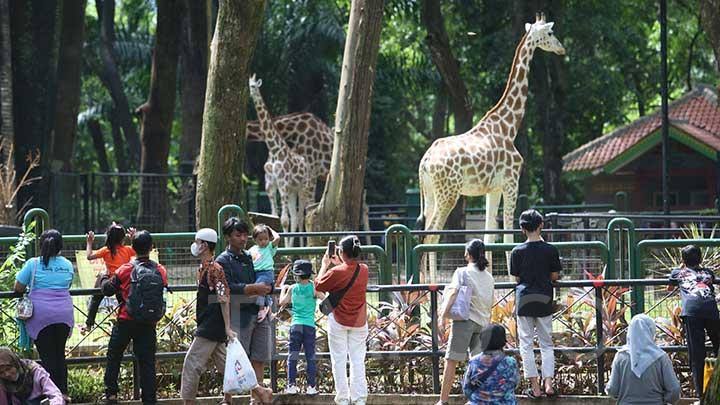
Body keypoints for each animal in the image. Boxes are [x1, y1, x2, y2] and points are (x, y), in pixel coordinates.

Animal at [249, 74, 314, 245]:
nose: (250, 93)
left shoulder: (282, 183)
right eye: (248, 84)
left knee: (301, 216)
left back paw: (301, 247)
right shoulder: (270, 184)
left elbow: (284, 219)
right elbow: (276, 217)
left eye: (254, 86)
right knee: (295, 216)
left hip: (303, 188)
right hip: (292, 190)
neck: (273, 149)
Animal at [420, 13, 564, 278]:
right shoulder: (511, 182)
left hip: (431, 193)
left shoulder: (493, 189)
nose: (561, 49)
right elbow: (507, 236)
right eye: (550, 33)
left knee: (425, 233)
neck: (508, 127)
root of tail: (425, 162)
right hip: (448, 194)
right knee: (432, 235)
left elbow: (489, 236)